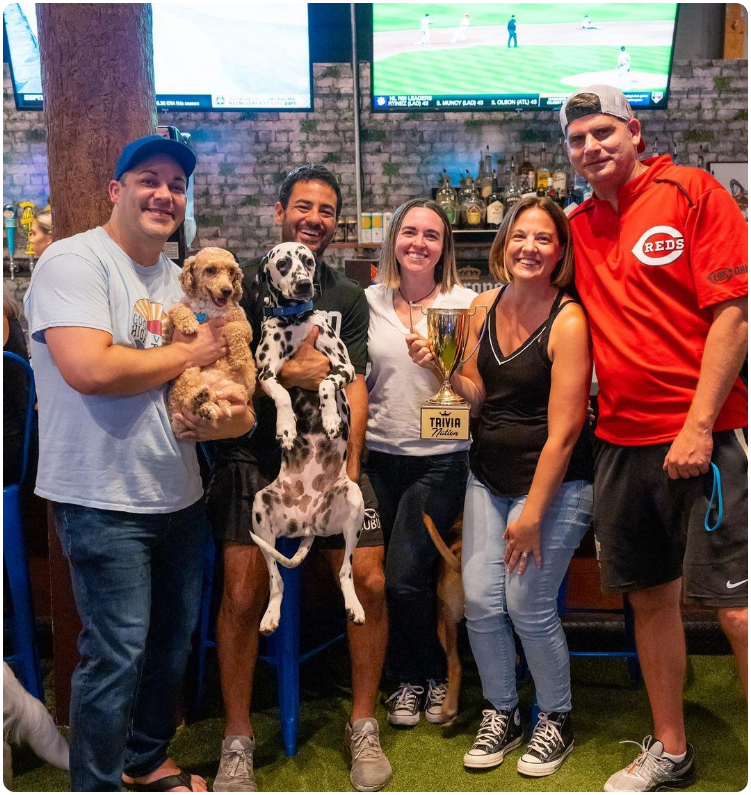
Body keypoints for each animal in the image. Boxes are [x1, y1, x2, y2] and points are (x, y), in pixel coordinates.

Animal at [164, 247, 256, 436]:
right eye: (211, 270)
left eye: (231, 271)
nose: (227, 290)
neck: (210, 308)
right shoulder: (169, 331)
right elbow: (177, 309)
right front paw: (189, 323)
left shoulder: (246, 327)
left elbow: (233, 328)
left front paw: (238, 357)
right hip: (189, 372)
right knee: (187, 400)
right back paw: (201, 402)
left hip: (236, 391)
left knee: (217, 402)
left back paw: (207, 408)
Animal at [251, 243, 366, 636]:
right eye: (283, 263)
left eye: (309, 262)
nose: (303, 285)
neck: (294, 322)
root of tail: (309, 523)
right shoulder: (265, 373)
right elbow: (282, 394)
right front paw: (286, 427)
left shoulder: (345, 368)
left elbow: (326, 382)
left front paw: (330, 418)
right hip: (260, 512)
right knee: (276, 581)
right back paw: (271, 615)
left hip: (354, 506)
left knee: (346, 571)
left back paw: (354, 605)